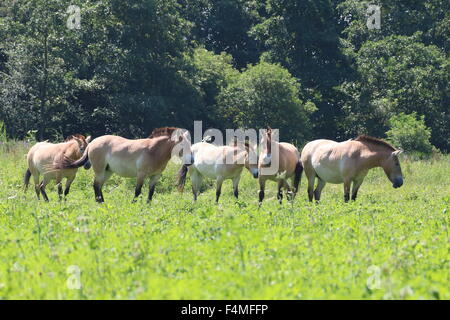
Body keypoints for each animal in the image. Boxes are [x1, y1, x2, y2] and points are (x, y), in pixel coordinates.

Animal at [54, 127, 192, 202]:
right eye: (183, 145)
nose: (191, 161)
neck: (154, 150)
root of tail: (92, 143)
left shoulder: (155, 177)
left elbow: (150, 194)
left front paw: (147, 207)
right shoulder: (141, 175)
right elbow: (137, 192)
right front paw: (133, 205)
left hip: (108, 171)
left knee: (99, 186)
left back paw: (103, 203)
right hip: (99, 170)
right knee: (96, 186)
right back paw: (100, 203)